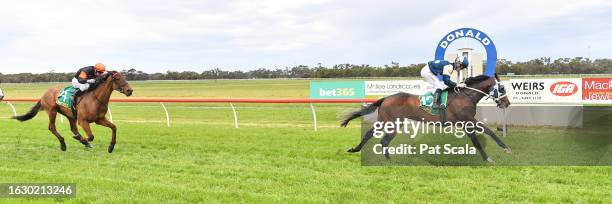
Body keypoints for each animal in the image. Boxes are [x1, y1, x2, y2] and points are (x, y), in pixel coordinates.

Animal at [342, 74, 510, 163]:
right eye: (502, 88)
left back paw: (356, 149)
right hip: (393, 123)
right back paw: (389, 160)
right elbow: (479, 138)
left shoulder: (468, 122)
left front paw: (505, 148)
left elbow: (489, 131)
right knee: (383, 140)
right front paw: (489, 158)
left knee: (370, 134)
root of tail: (386, 98)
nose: (507, 103)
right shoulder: (467, 121)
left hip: (385, 121)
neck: (466, 96)